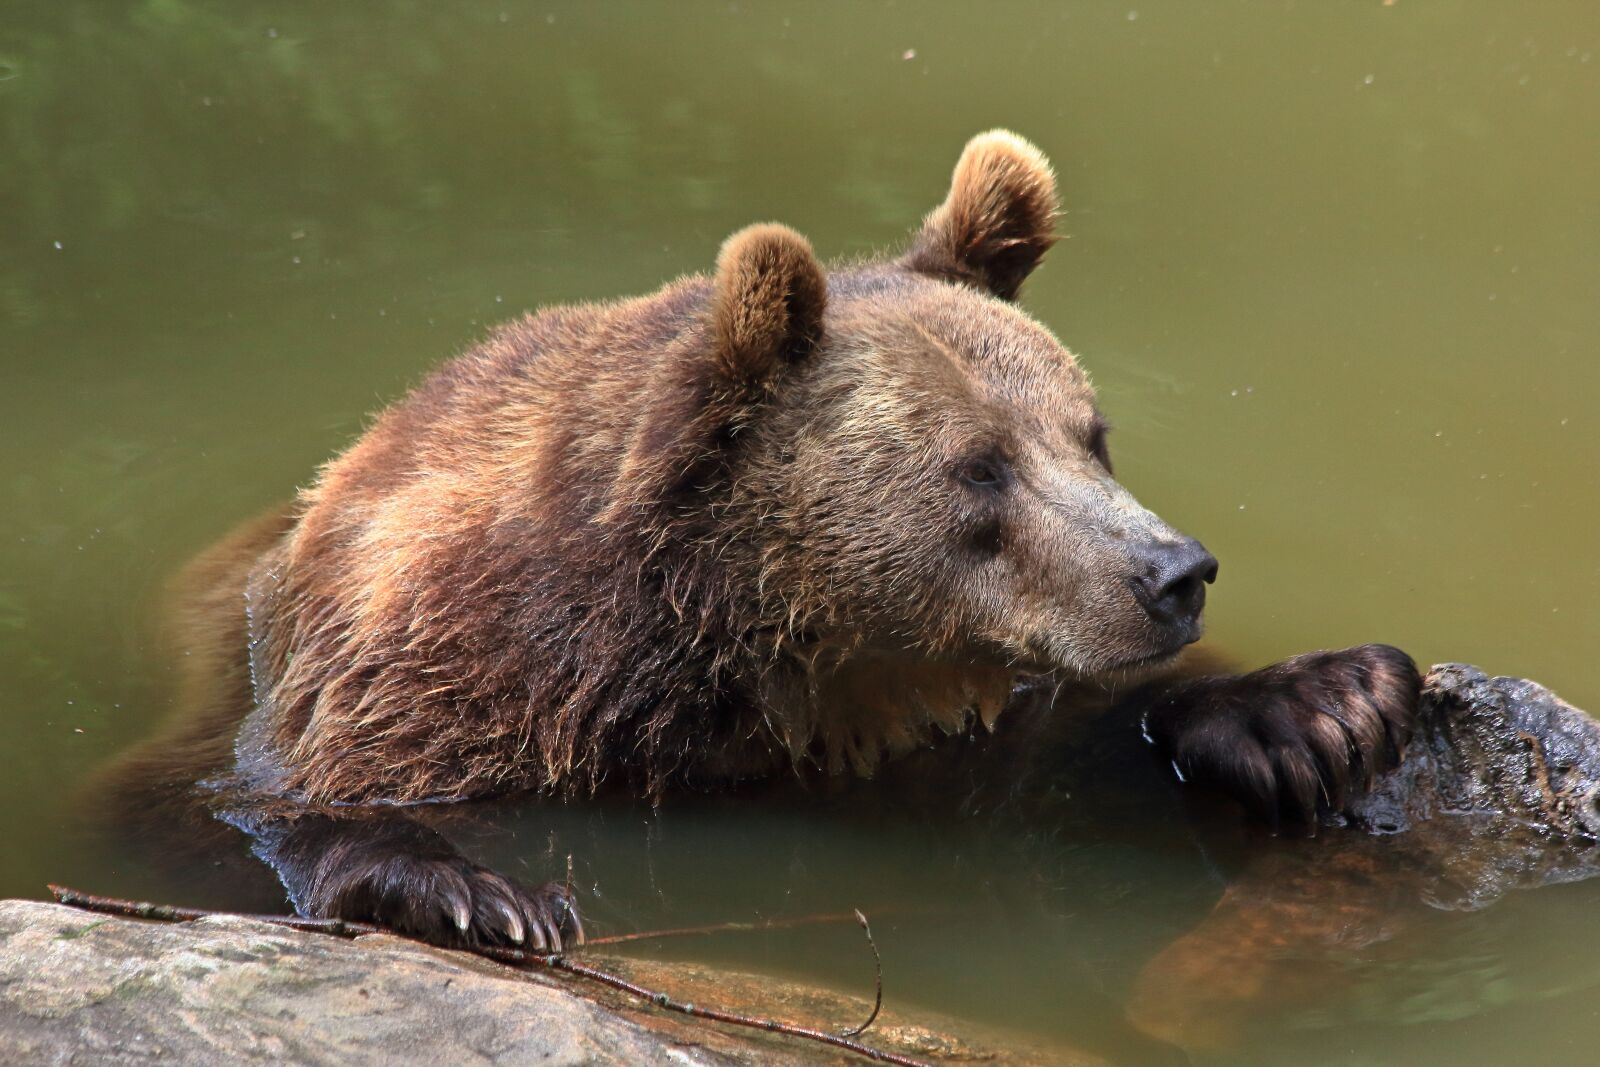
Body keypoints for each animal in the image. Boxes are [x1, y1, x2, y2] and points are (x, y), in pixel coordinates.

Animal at [104, 130, 1419, 953]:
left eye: (1090, 435)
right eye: (979, 467)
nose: (1173, 572)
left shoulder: (948, 715)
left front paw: (1320, 705)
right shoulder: (407, 679)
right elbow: (202, 807)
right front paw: (477, 890)